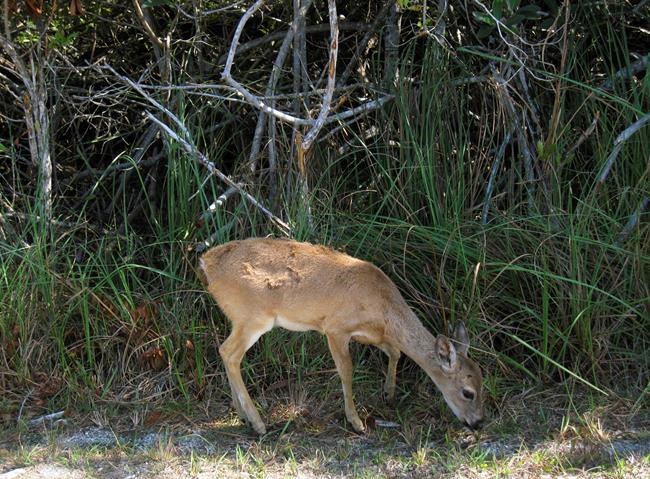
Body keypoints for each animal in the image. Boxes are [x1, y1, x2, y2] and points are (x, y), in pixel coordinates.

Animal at [199, 238, 484, 435]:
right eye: (468, 392)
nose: (478, 423)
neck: (384, 306)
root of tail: (207, 263)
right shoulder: (336, 328)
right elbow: (346, 371)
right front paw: (357, 422)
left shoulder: (372, 334)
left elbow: (396, 352)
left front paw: (389, 393)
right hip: (253, 317)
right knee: (230, 353)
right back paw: (259, 424)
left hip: (239, 319)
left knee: (225, 352)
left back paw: (243, 415)